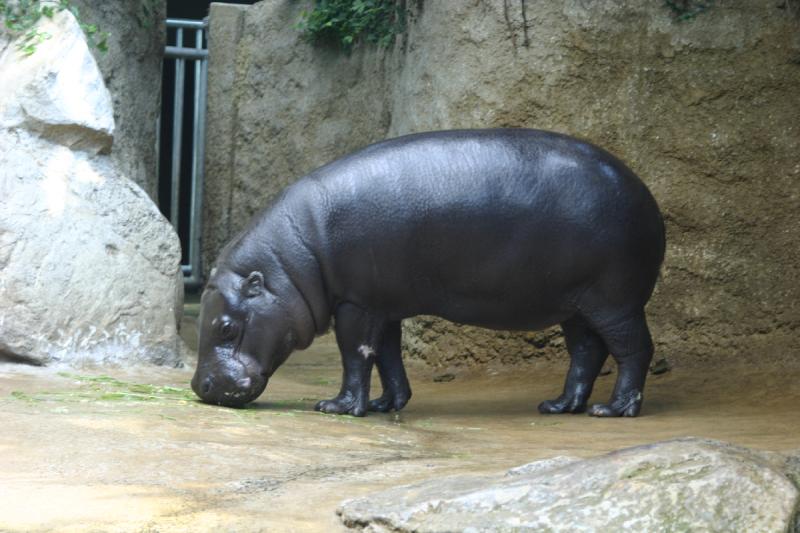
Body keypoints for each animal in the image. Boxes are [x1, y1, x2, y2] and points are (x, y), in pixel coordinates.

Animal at [191, 129, 664, 416]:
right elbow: (387, 355)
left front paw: (338, 407)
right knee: (587, 352)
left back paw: (615, 410)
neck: (290, 265)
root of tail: (647, 195)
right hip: (575, 305)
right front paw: (386, 405)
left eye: (227, 327)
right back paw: (559, 405)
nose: (200, 387)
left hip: (614, 300)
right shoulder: (382, 305)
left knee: (634, 349)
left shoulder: (355, 303)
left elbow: (355, 354)